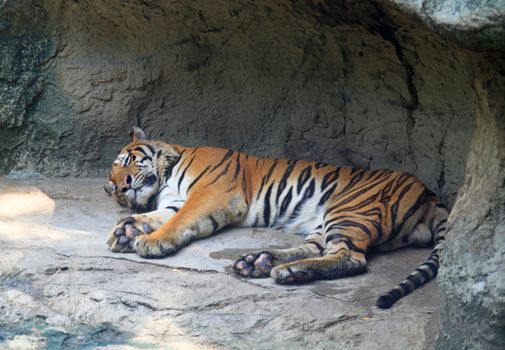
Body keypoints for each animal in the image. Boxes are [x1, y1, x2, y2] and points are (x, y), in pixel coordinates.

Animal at [104, 127, 446, 308]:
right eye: (114, 188)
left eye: (127, 161)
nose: (123, 186)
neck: (166, 176)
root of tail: (430, 194)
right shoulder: (176, 202)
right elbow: (159, 216)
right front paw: (126, 231)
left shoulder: (211, 194)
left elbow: (179, 221)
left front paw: (150, 242)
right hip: (328, 221)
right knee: (319, 249)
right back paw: (262, 262)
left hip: (350, 210)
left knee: (351, 258)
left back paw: (283, 269)